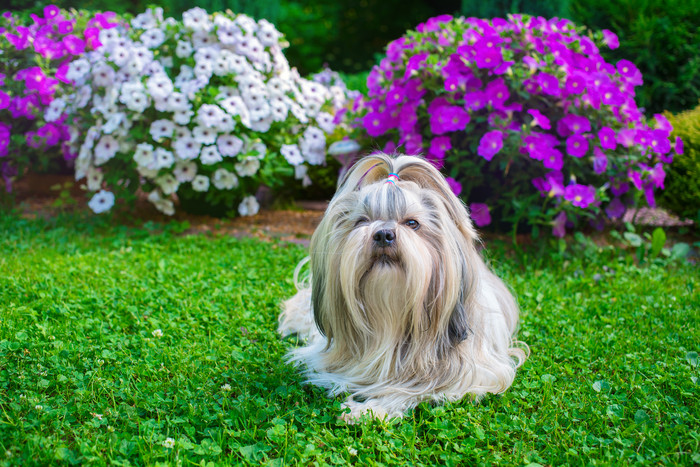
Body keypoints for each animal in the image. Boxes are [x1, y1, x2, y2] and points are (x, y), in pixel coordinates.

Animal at [276, 155, 528, 422]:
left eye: (412, 223)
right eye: (362, 221)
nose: (383, 234)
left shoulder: (474, 373)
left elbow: (413, 389)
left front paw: (370, 408)